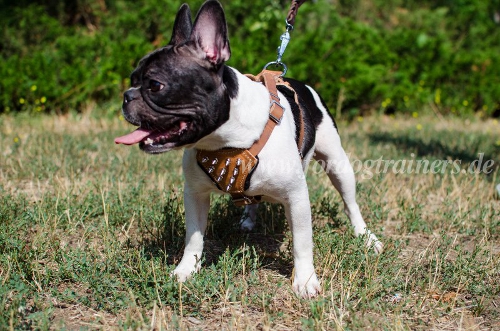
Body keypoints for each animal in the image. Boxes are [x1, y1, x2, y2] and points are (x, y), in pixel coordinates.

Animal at [116, 0, 382, 300]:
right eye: (132, 79)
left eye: (154, 85)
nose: (127, 96)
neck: (225, 140)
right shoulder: (195, 194)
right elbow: (193, 236)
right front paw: (186, 270)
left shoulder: (297, 197)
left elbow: (302, 243)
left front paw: (305, 280)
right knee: (253, 199)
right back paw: (247, 219)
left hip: (338, 163)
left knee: (350, 203)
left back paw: (365, 237)